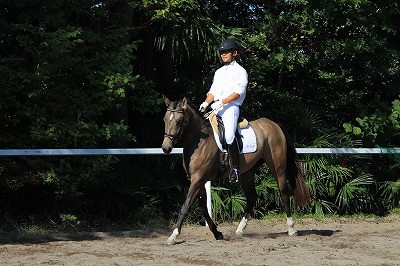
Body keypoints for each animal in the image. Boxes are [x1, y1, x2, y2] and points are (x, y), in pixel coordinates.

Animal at [161, 96, 310, 245]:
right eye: (165, 119)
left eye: (179, 121)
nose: (166, 148)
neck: (199, 140)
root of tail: (274, 124)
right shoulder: (198, 179)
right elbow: (203, 208)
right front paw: (217, 233)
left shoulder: (198, 179)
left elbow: (186, 206)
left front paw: (173, 236)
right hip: (247, 172)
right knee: (251, 197)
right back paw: (240, 230)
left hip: (278, 168)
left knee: (284, 193)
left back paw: (291, 228)